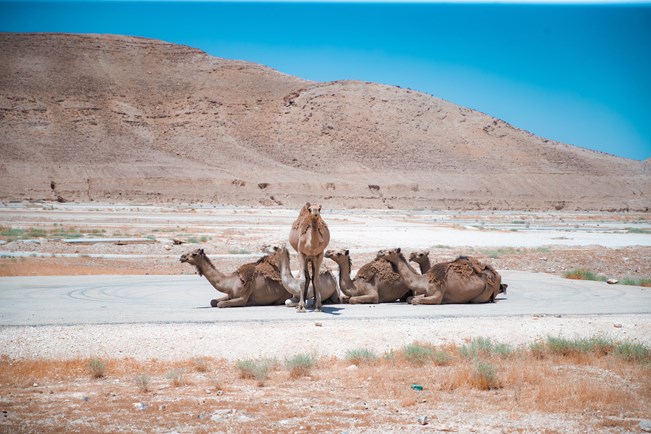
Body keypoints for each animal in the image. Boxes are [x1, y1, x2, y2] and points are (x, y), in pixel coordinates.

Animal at [374, 248, 506, 306]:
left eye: (390, 251)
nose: (379, 252)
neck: (424, 280)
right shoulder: (427, 292)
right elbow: (410, 299)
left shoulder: (437, 294)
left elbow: (415, 300)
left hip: (483, 294)